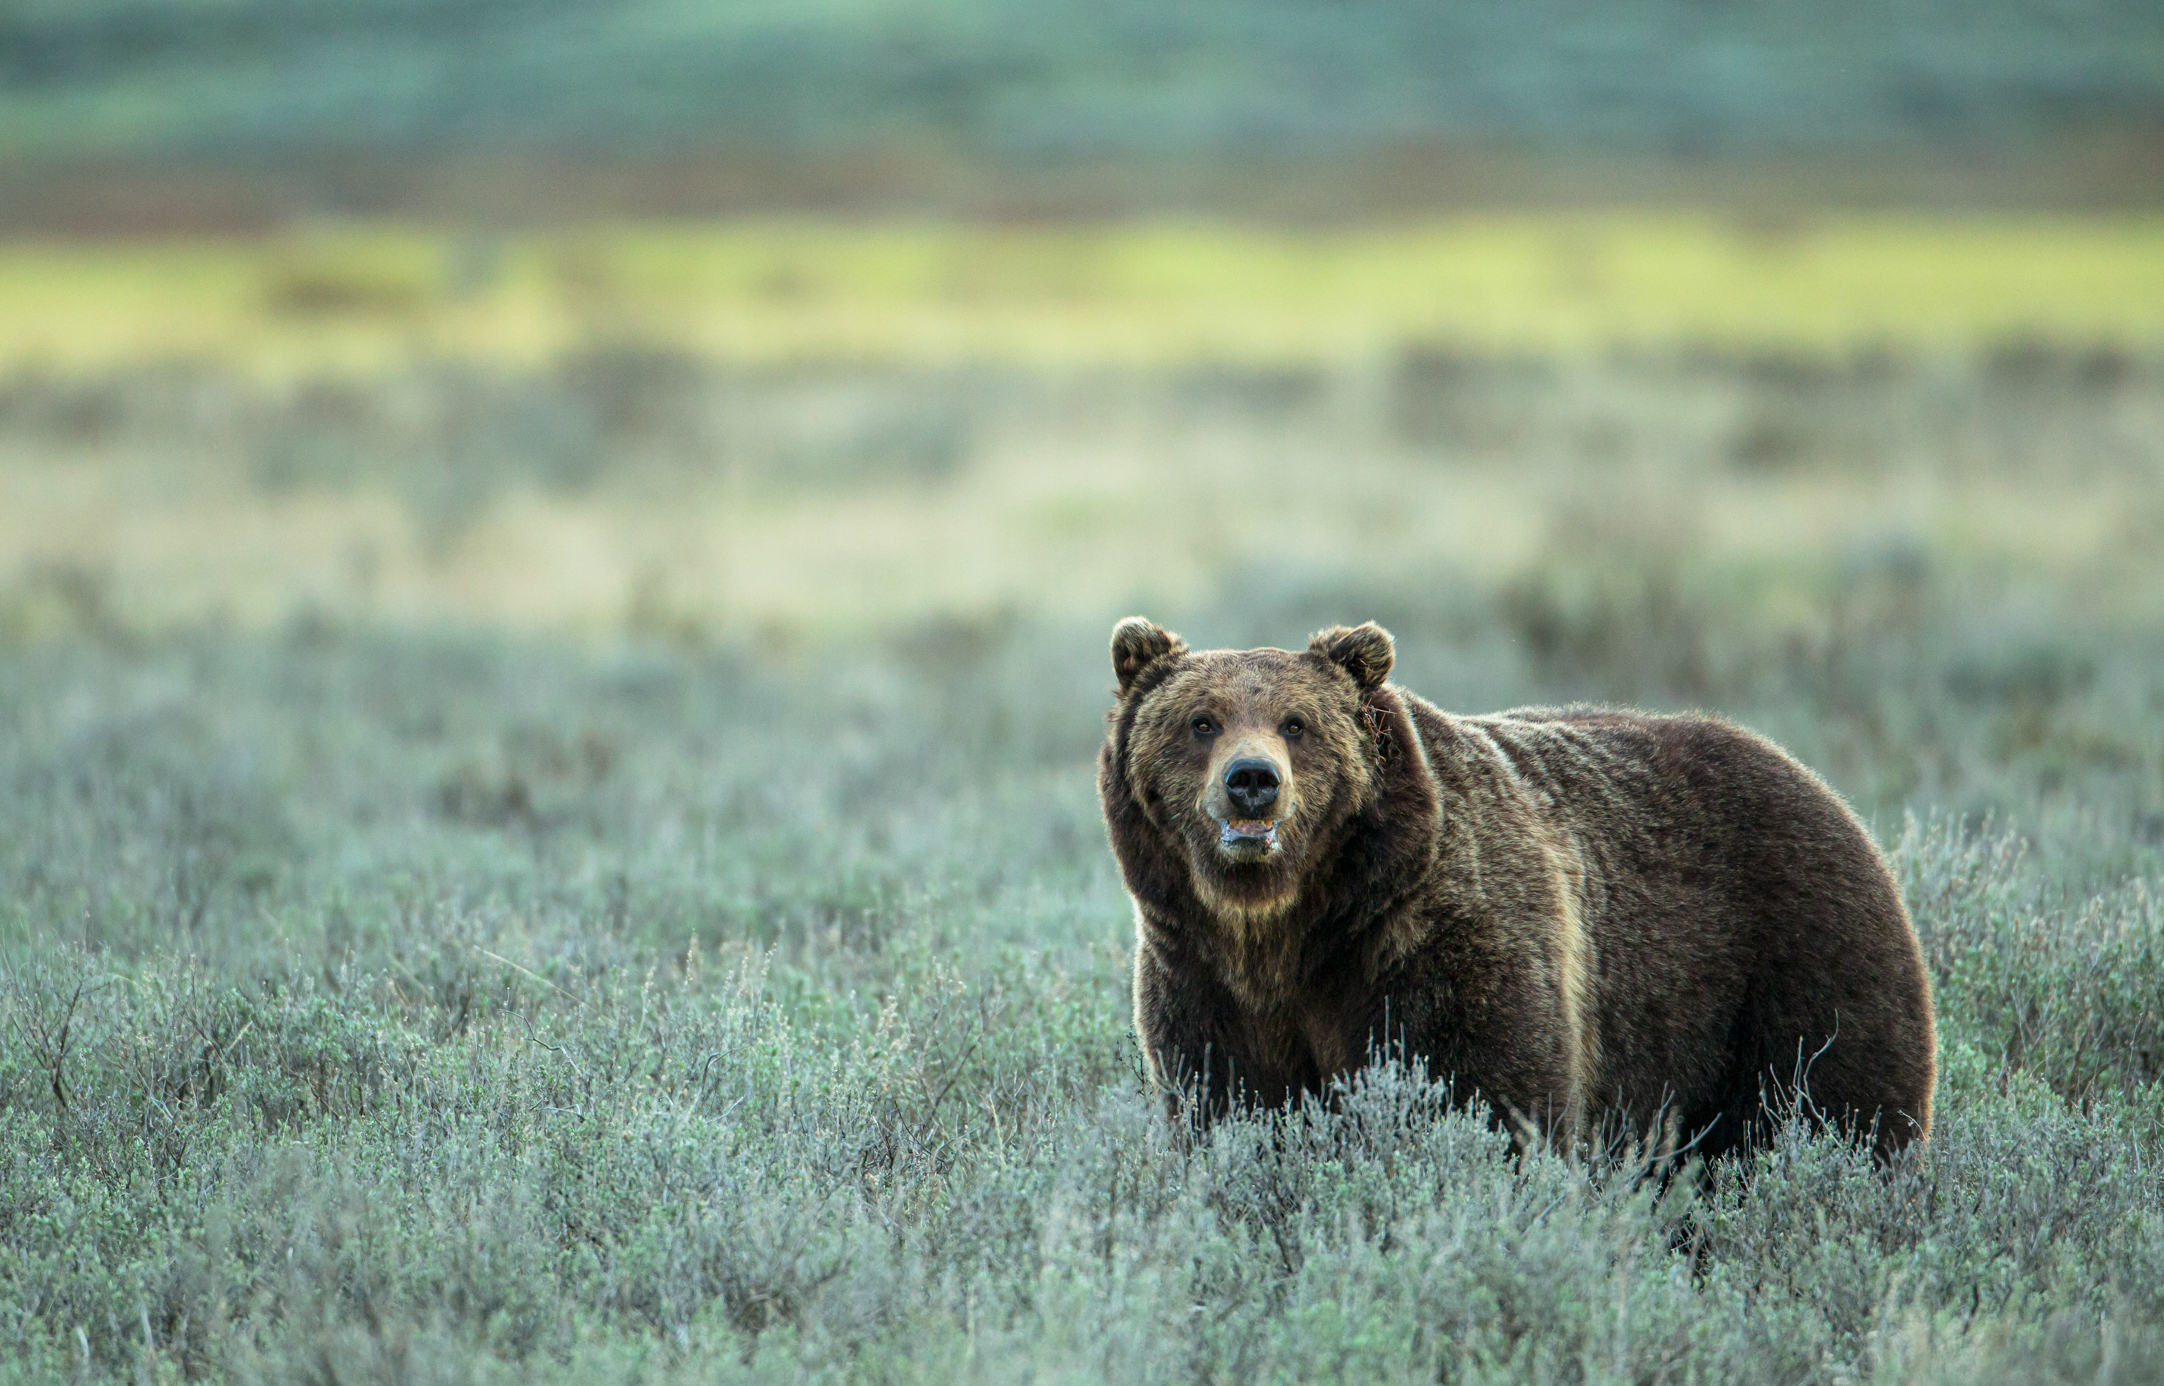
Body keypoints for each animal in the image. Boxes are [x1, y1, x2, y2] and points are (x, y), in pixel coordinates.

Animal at [1099, 615, 1947, 1160]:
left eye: (1297, 723)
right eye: (1201, 721)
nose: (1253, 781)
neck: (1291, 924)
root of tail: (1819, 783)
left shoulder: (1433, 942)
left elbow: (1489, 1097)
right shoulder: (1205, 978)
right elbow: (1229, 1107)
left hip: (1797, 957)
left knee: (1834, 1104)